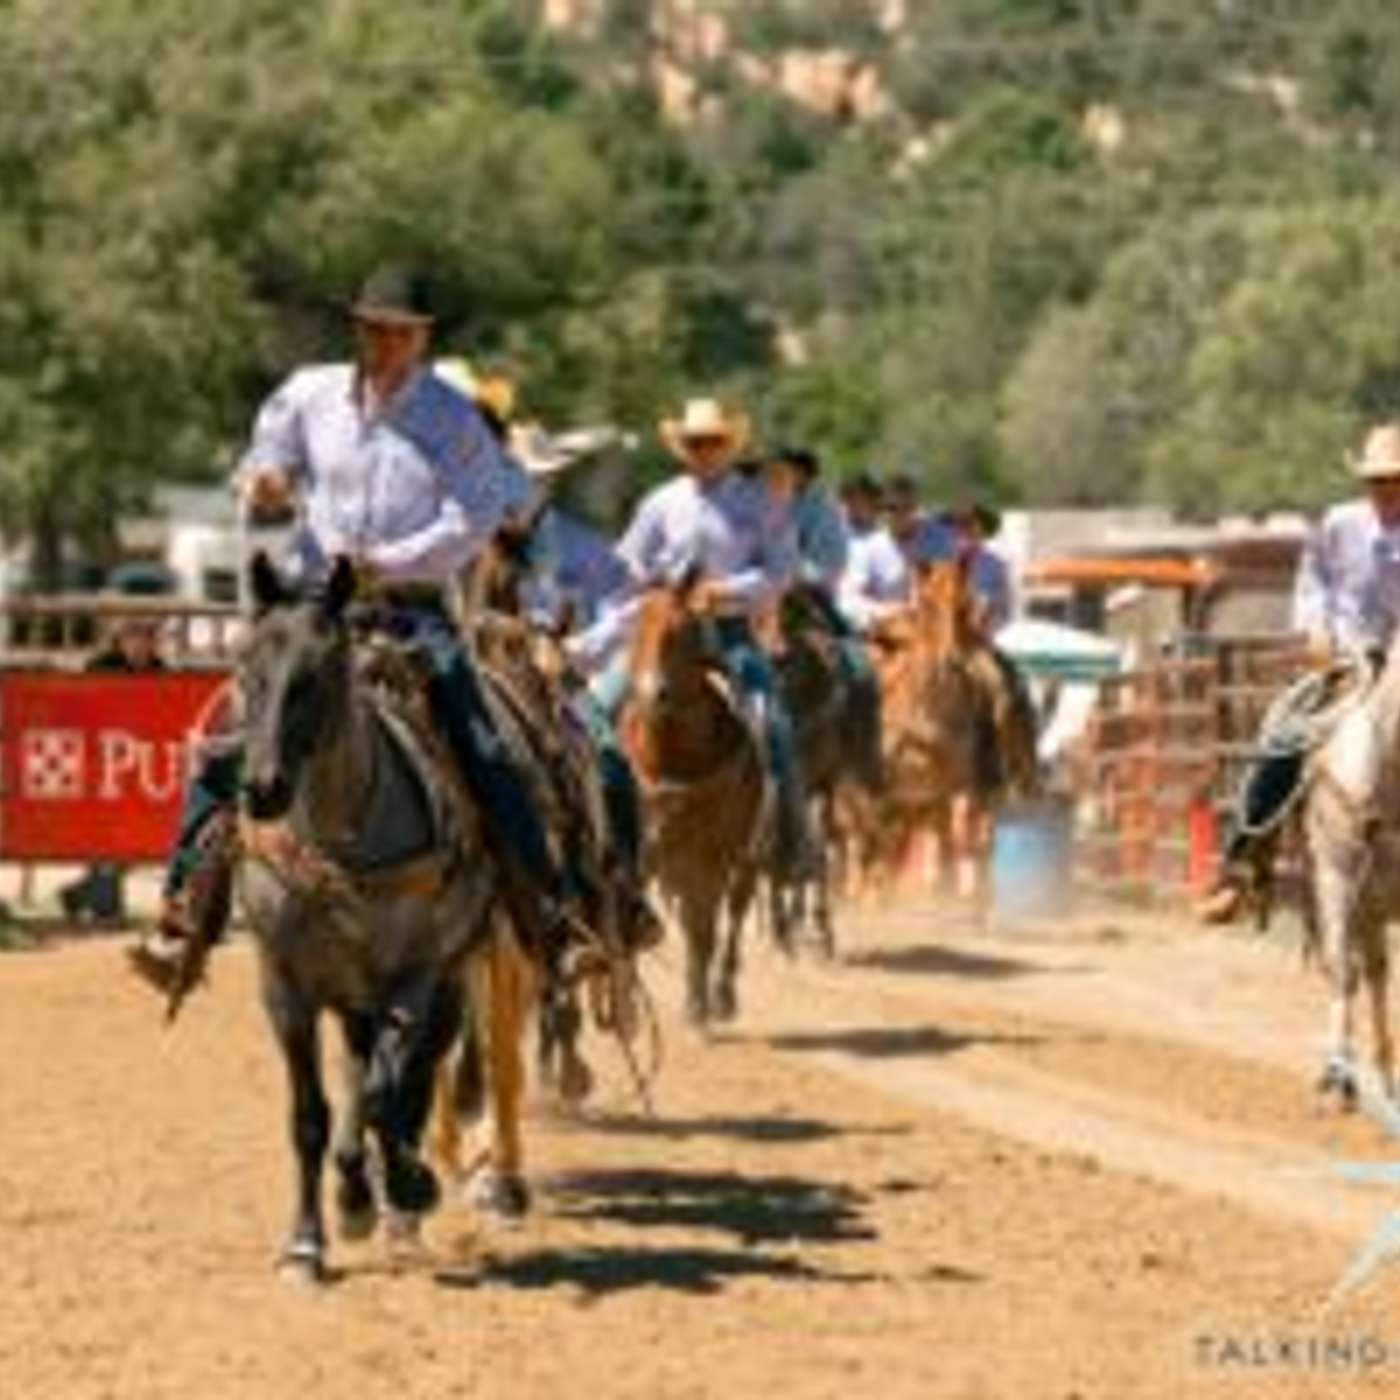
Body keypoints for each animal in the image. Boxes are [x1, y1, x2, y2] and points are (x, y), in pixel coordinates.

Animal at [236, 553, 508, 1278]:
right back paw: (360, 1194)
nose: (262, 788)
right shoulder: (285, 989)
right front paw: (307, 1242)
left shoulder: (412, 980)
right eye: (246, 664)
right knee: (363, 1077)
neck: (339, 846)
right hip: (353, 999)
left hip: (445, 983)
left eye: (317, 673)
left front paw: (411, 1184)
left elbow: (393, 1095)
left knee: (409, 1083)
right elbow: (311, 1116)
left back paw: (399, 1198)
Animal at [619, 578, 767, 1026]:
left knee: (730, 916)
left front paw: (700, 1005)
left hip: (747, 858)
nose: (654, 694)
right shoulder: (646, 853)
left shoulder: (712, 858)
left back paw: (720, 993)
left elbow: (705, 929)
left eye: (682, 632)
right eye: (634, 629)